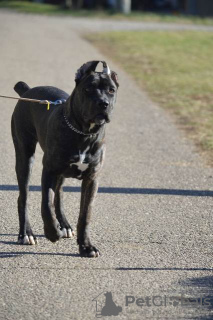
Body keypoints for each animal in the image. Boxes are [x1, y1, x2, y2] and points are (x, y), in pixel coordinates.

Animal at [10, 61, 119, 258]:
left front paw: (86, 246)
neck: (84, 133)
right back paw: (26, 234)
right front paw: (52, 232)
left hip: (59, 173)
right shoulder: (49, 171)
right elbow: (46, 204)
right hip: (24, 157)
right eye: (88, 89)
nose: (103, 103)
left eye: (111, 90)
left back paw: (65, 225)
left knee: (59, 194)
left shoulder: (92, 179)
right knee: (24, 197)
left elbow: (85, 215)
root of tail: (27, 91)